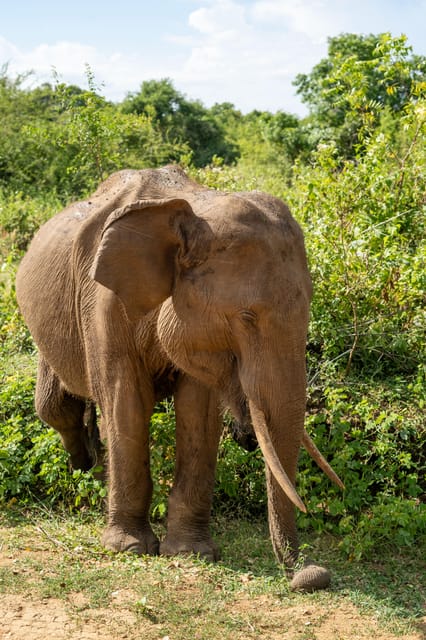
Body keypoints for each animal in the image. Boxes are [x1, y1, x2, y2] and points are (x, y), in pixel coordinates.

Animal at [16, 164, 342, 592]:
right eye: (246, 317)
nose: (309, 575)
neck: (197, 210)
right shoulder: (103, 302)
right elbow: (126, 403)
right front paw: (129, 549)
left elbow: (198, 412)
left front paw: (190, 553)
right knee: (55, 407)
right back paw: (85, 468)